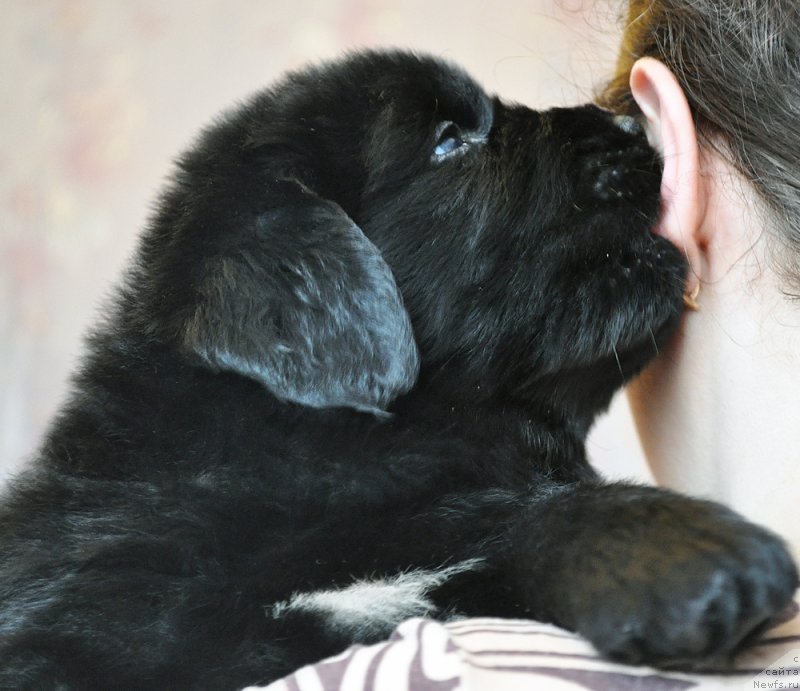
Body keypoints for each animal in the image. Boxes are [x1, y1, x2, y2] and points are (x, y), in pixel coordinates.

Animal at [1, 50, 792, 688]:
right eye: (448, 140)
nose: (632, 123)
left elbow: (495, 531)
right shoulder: (133, 632)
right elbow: (503, 523)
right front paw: (687, 552)